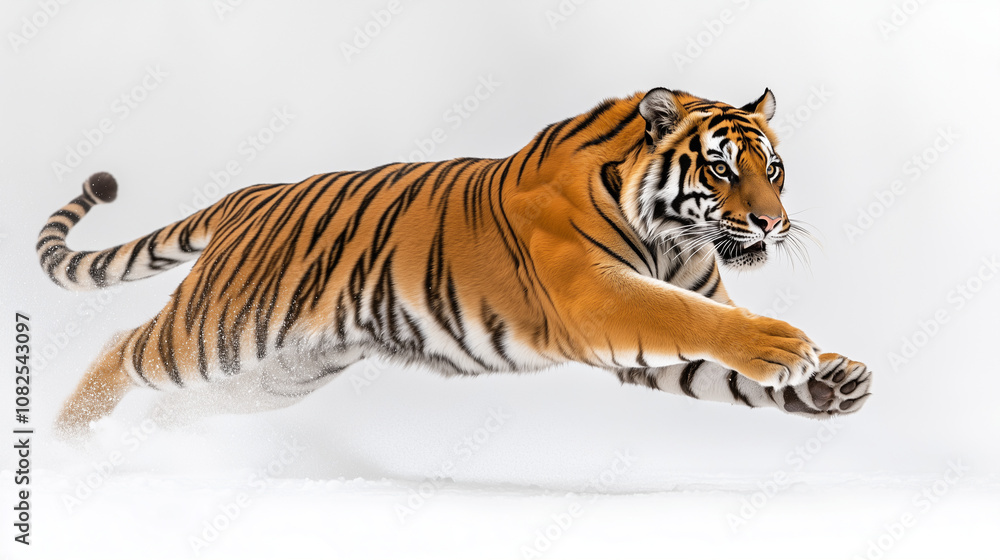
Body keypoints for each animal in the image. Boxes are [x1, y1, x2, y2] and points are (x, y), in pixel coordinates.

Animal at [37, 87, 872, 438]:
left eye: (775, 169)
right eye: (724, 170)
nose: (773, 222)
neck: (674, 233)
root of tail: (251, 193)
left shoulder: (637, 343)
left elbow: (715, 357)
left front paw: (828, 382)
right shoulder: (601, 300)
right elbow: (690, 316)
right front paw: (785, 348)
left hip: (283, 370)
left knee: (179, 406)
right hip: (223, 330)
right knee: (125, 346)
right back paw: (68, 441)